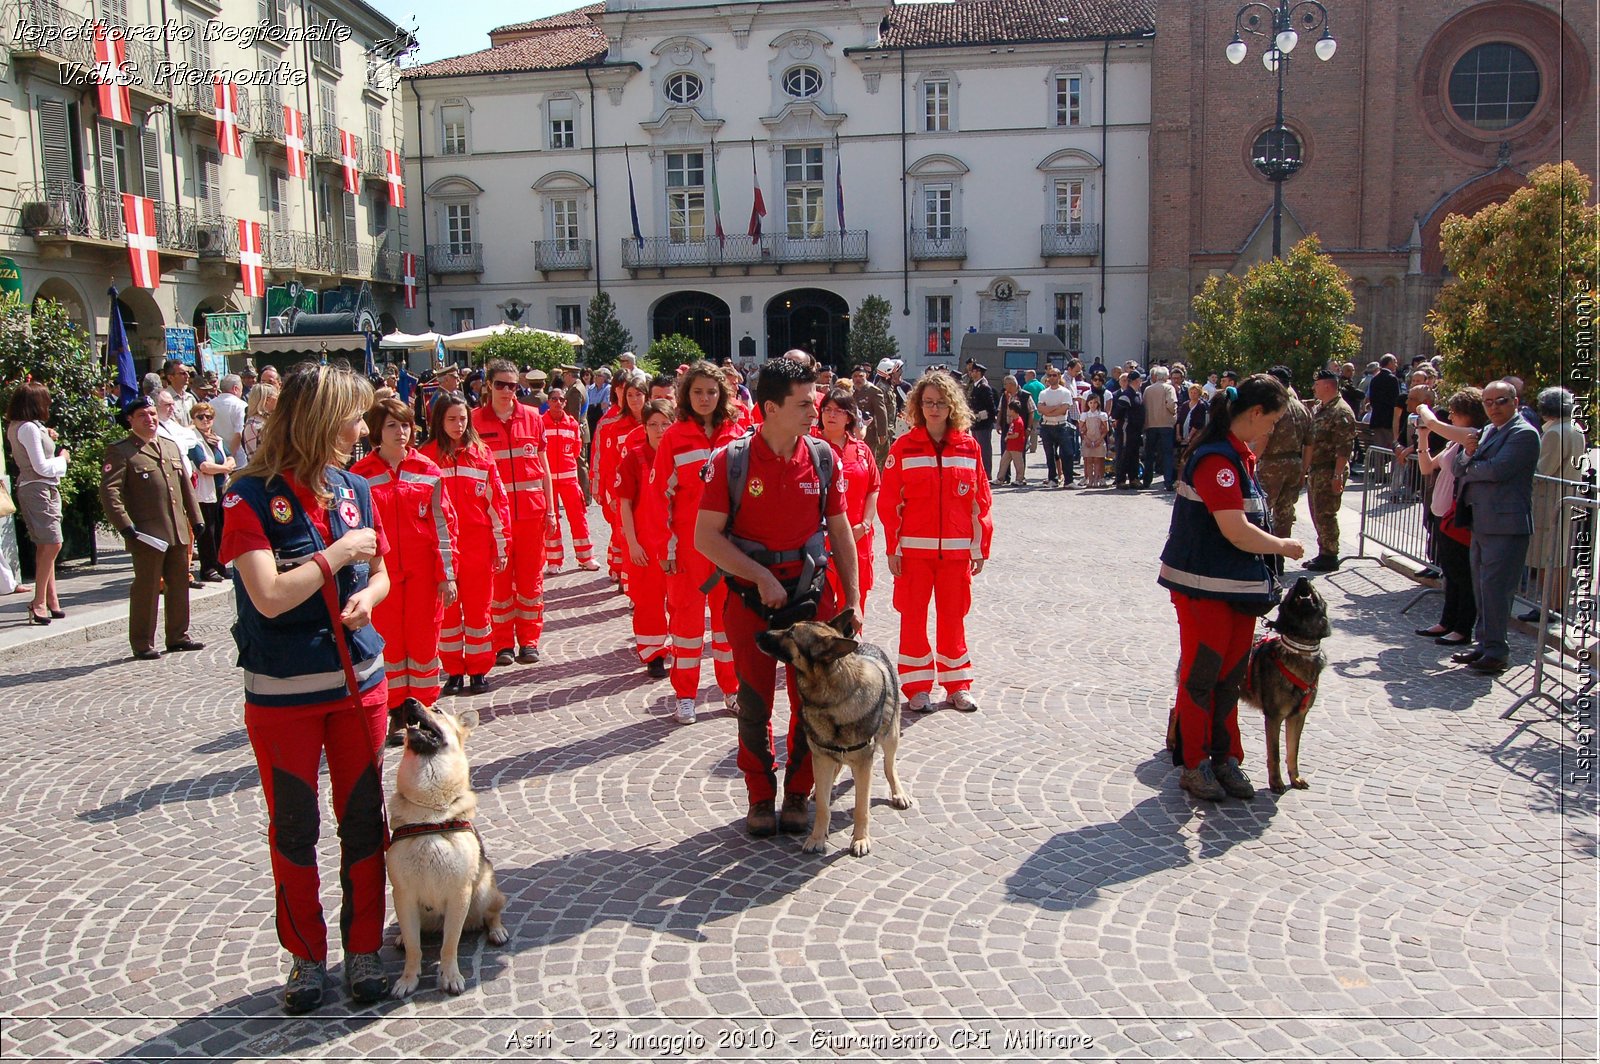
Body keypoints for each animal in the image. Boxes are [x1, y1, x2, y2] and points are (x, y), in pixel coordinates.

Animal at [387, 697, 505, 998]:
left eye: (437, 710)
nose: (408, 701)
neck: (429, 813)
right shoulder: (403, 896)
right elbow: (415, 948)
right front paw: (408, 978)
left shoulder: (459, 894)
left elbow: (449, 944)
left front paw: (450, 976)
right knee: (412, 935)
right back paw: (401, 938)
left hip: (483, 891)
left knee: (493, 912)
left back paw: (497, 930)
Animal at [758, 611, 915, 851]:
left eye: (791, 633)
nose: (758, 634)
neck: (832, 699)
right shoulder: (821, 759)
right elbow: (823, 807)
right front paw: (817, 838)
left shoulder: (863, 765)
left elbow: (861, 807)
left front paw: (860, 839)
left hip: (891, 737)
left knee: (889, 766)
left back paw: (898, 793)